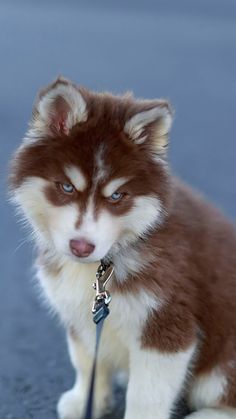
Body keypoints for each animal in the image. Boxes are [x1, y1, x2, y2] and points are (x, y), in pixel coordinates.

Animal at [9, 76, 236, 419]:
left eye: (117, 196)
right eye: (66, 187)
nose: (81, 246)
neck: (107, 262)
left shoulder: (167, 325)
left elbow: (147, 395)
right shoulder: (82, 312)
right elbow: (86, 359)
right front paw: (87, 400)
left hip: (223, 363)